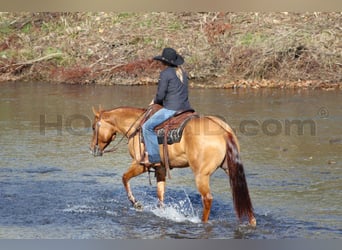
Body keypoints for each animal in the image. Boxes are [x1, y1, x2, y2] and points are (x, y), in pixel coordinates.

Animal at [91, 105, 256, 227]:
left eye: (93, 127)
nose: (92, 149)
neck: (136, 127)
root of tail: (223, 131)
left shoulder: (140, 164)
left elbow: (124, 178)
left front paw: (136, 203)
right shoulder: (161, 168)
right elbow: (160, 194)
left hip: (201, 175)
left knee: (207, 199)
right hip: (230, 169)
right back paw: (252, 221)